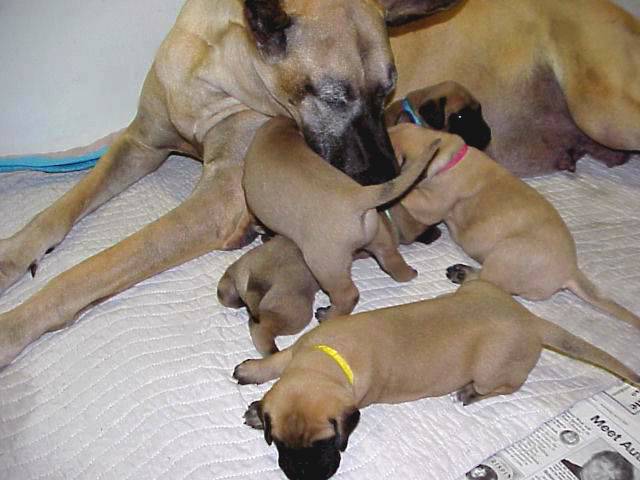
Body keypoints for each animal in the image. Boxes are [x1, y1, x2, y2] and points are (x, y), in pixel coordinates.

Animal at [232, 279, 640, 480]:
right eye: (281, 444)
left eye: (326, 443)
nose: (303, 478)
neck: (326, 358)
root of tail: (531, 321)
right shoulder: (300, 351)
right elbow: (276, 361)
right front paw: (254, 382)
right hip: (479, 291)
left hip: (492, 368)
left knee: (509, 385)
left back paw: (470, 392)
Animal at [243, 117, 440, 320]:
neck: (280, 133)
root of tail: (359, 196)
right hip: (380, 241)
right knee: (392, 261)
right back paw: (409, 273)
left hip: (325, 264)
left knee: (347, 294)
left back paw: (327, 315)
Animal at [388, 124, 640, 328]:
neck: (449, 155)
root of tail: (570, 271)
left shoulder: (432, 204)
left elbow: (409, 195)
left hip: (506, 253)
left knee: (488, 280)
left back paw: (462, 273)